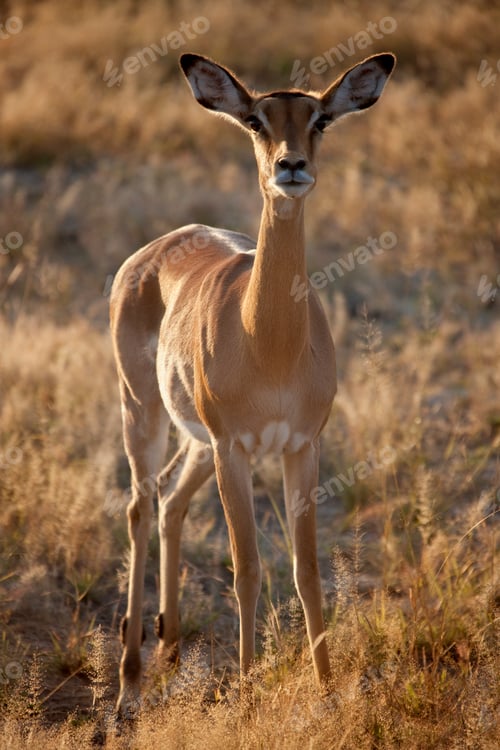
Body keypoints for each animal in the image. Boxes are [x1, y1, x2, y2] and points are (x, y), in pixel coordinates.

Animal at [110, 51, 395, 715]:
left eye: (320, 119)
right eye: (256, 120)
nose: (290, 167)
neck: (270, 346)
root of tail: (154, 249)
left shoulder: (301, 447)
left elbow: (306, 571)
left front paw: (328, 694)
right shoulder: (235, 448)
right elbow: (247, 570)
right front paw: (243, 694)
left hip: (197, 443)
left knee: (171, 501)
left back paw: (170, 648)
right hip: (144, 411)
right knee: (140, 504)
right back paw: (129, 683)